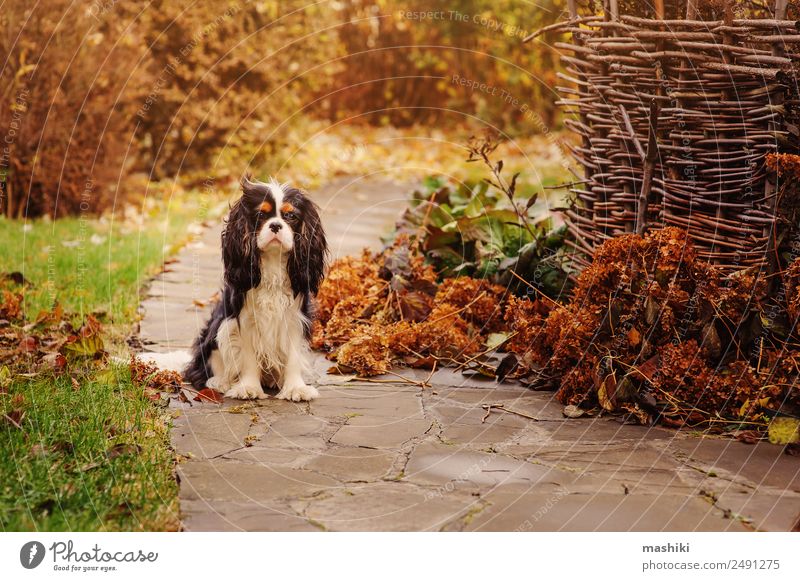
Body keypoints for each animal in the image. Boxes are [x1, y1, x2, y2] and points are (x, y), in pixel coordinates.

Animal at [183, 177, 326, 402]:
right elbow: (248, 357)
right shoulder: (245, 320)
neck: (273, 263)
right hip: (219, 327)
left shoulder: (294, 319)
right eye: (260, 215)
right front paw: (248, 388)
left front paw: (295, 388)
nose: (275, 225)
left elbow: (293, 356)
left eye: (291, 216)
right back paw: (221, 382)